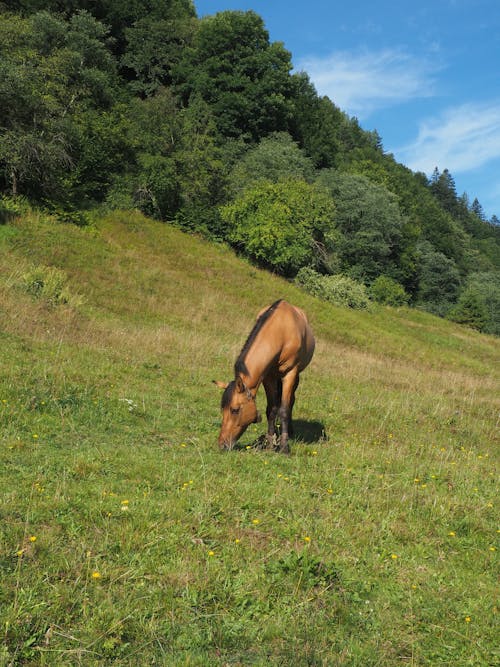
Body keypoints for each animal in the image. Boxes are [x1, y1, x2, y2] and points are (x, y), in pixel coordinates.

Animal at [214, 302, 314, 454]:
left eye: (234, 410)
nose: (222, 444)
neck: (281, 332)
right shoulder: (268, 377)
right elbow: (271, 409)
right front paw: (270, 445)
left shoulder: (290, 373)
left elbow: (284, 409)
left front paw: (284, 447)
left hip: (295, 376)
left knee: (291, 401)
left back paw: (289, 432)